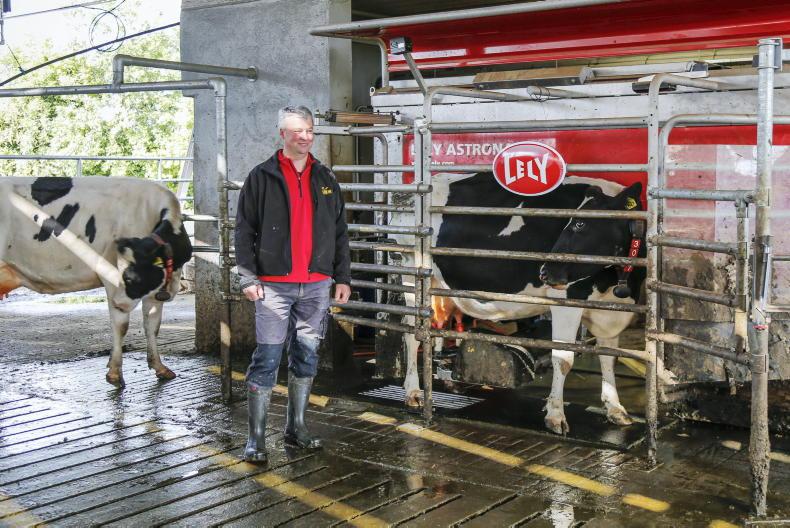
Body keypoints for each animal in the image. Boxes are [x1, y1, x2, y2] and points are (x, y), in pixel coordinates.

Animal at [0, 176, 193, 387]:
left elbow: (152, 326)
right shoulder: (110, 278)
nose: (119, 303)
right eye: (122, 274)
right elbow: (122, 326)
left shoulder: (156, 292)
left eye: (132, 277)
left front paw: (160, 367)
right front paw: (115, 372)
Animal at [395, 172, 645, 435]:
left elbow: (609, 356)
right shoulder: (565, 302)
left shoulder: (611, 311)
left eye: (580, 224)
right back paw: (413, 393)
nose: (545, 271)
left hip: (441, 288)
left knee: (437, 327)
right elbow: (563, 359)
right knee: (412, 333)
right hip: (412, 271)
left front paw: (615, 409)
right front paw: (556, 415)